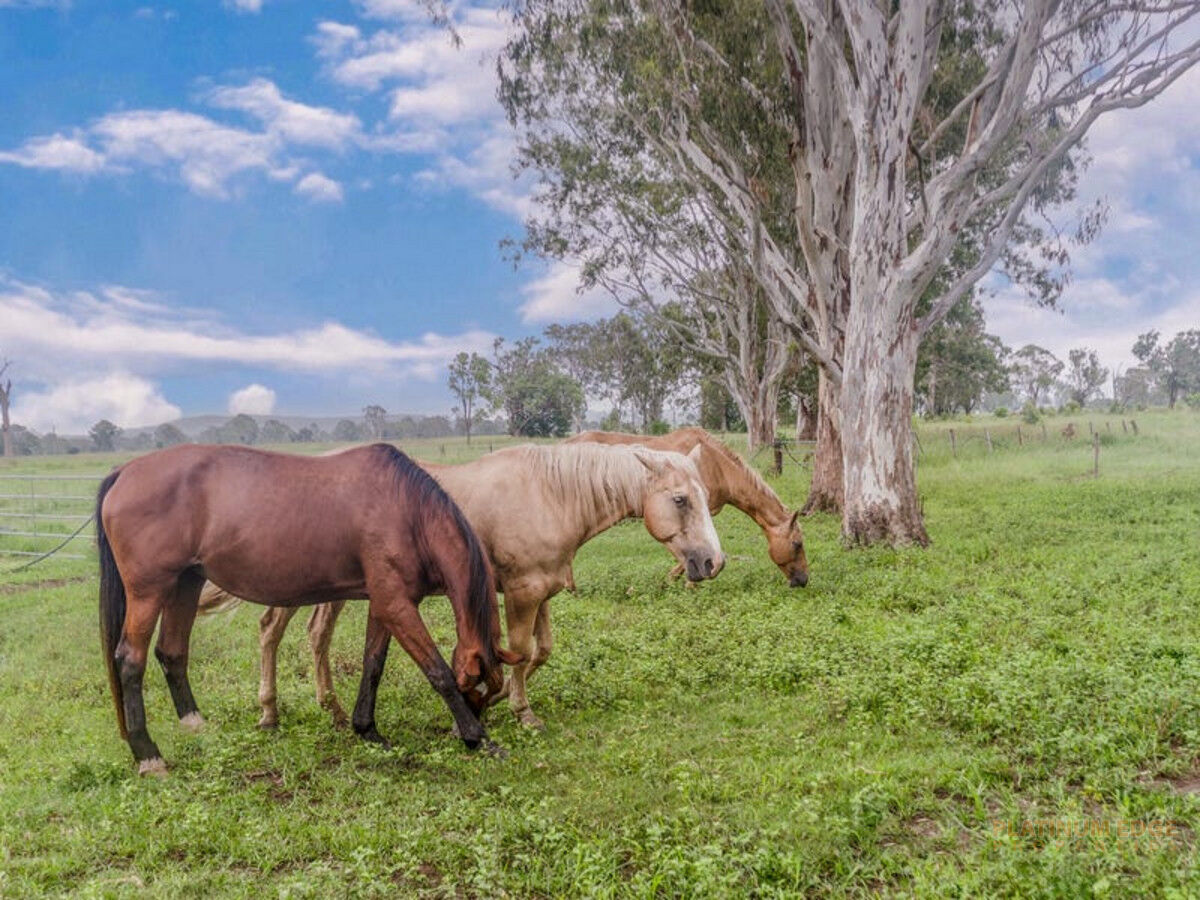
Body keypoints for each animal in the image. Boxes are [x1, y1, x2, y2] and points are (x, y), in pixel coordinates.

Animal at [96, 444, 518, 777]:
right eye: (479, 686)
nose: (468, 726)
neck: (408, 510)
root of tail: (124, 472)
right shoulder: (397, 606)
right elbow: (437, 672)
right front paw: (480, 740)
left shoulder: (386, 604)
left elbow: (373, 665)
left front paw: (367, 729)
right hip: (149, 592)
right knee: (130, 660)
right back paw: (148, 755)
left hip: (186, 582)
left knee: (171, 652)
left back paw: (197, 726)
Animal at [202, 441, 724, 734]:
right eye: (681, 499)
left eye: (705, 496)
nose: (712, 562)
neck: (549, 494)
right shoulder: (522, 593)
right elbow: (520, 651)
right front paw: (516, 710)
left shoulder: (541, 589)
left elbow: (540, 651)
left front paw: (494, 698)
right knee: (272, 630)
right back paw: (270, 713)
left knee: (314, 636)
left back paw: (324, 711)